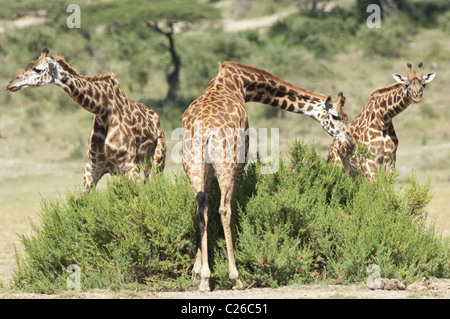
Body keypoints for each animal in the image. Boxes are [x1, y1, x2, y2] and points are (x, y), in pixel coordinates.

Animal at [4, 48, 167, 191]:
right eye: (27, 65)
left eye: (37, 69)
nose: (10, 84)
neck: (103, 110)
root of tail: (156, 117)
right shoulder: (92, 168)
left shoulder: (129, 165)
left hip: (156, 160)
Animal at [183, 62, 356, 292]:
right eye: (336, 116)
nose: (351, 143)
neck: (240, 83)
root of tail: (205, 131)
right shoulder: (242, 155)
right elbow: (233, 207)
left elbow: (205, 208)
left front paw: (197, 271)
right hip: (227, 163)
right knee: (224, 209)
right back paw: (235, 277)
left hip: (193, 166)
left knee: (201, 208)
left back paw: (204, 279)